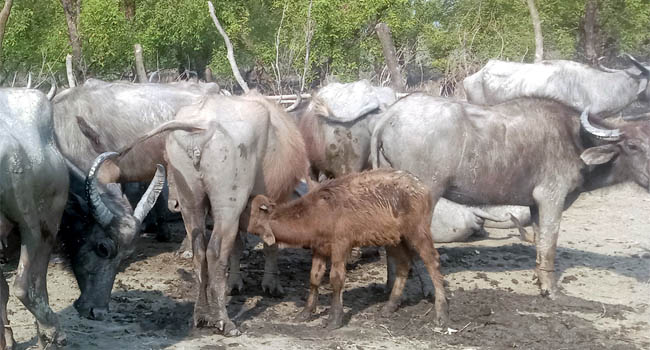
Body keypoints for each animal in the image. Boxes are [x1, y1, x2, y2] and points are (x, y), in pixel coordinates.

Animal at [246, 168, 448, 330]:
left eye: (255, 220)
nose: (247, 229)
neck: (318, 212)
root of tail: (422, 188)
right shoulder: (319, 249)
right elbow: (314, 278)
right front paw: (306, 312)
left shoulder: (341, 246)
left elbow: (336, 279)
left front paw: (335, 319)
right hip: (396, 239)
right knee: (404, 264)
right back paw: (390, 306)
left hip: (417, 232)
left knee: (432, 262)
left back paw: (441, 311)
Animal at [370, 93, 648, 298]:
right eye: (633, 146)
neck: (575, 140)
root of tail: (391, 115)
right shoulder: (552, 197)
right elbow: (550, 242)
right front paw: (550, 290)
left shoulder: (535, 205)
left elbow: (540, 241)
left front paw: (539, 278)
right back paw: (430, 289)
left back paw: (393, 286)